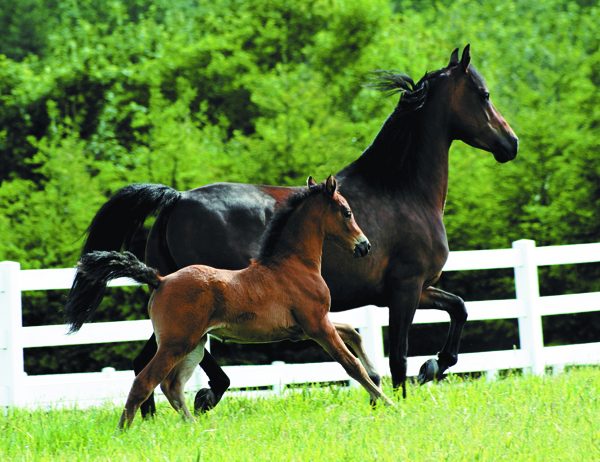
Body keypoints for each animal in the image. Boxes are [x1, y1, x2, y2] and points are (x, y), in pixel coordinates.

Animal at [71, 177, 394, 430]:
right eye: (347, 212)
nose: (364, 246)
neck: (292, 264)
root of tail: (160, 279)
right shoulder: (317, 325)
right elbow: (350, 364)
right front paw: (389, 403)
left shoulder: (307, 327)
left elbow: (352, 331)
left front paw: (377, 379)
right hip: (177, 344)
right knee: (146, 382)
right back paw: (122, 433)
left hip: (194, 344)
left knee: (172, 386)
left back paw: (194, 427)